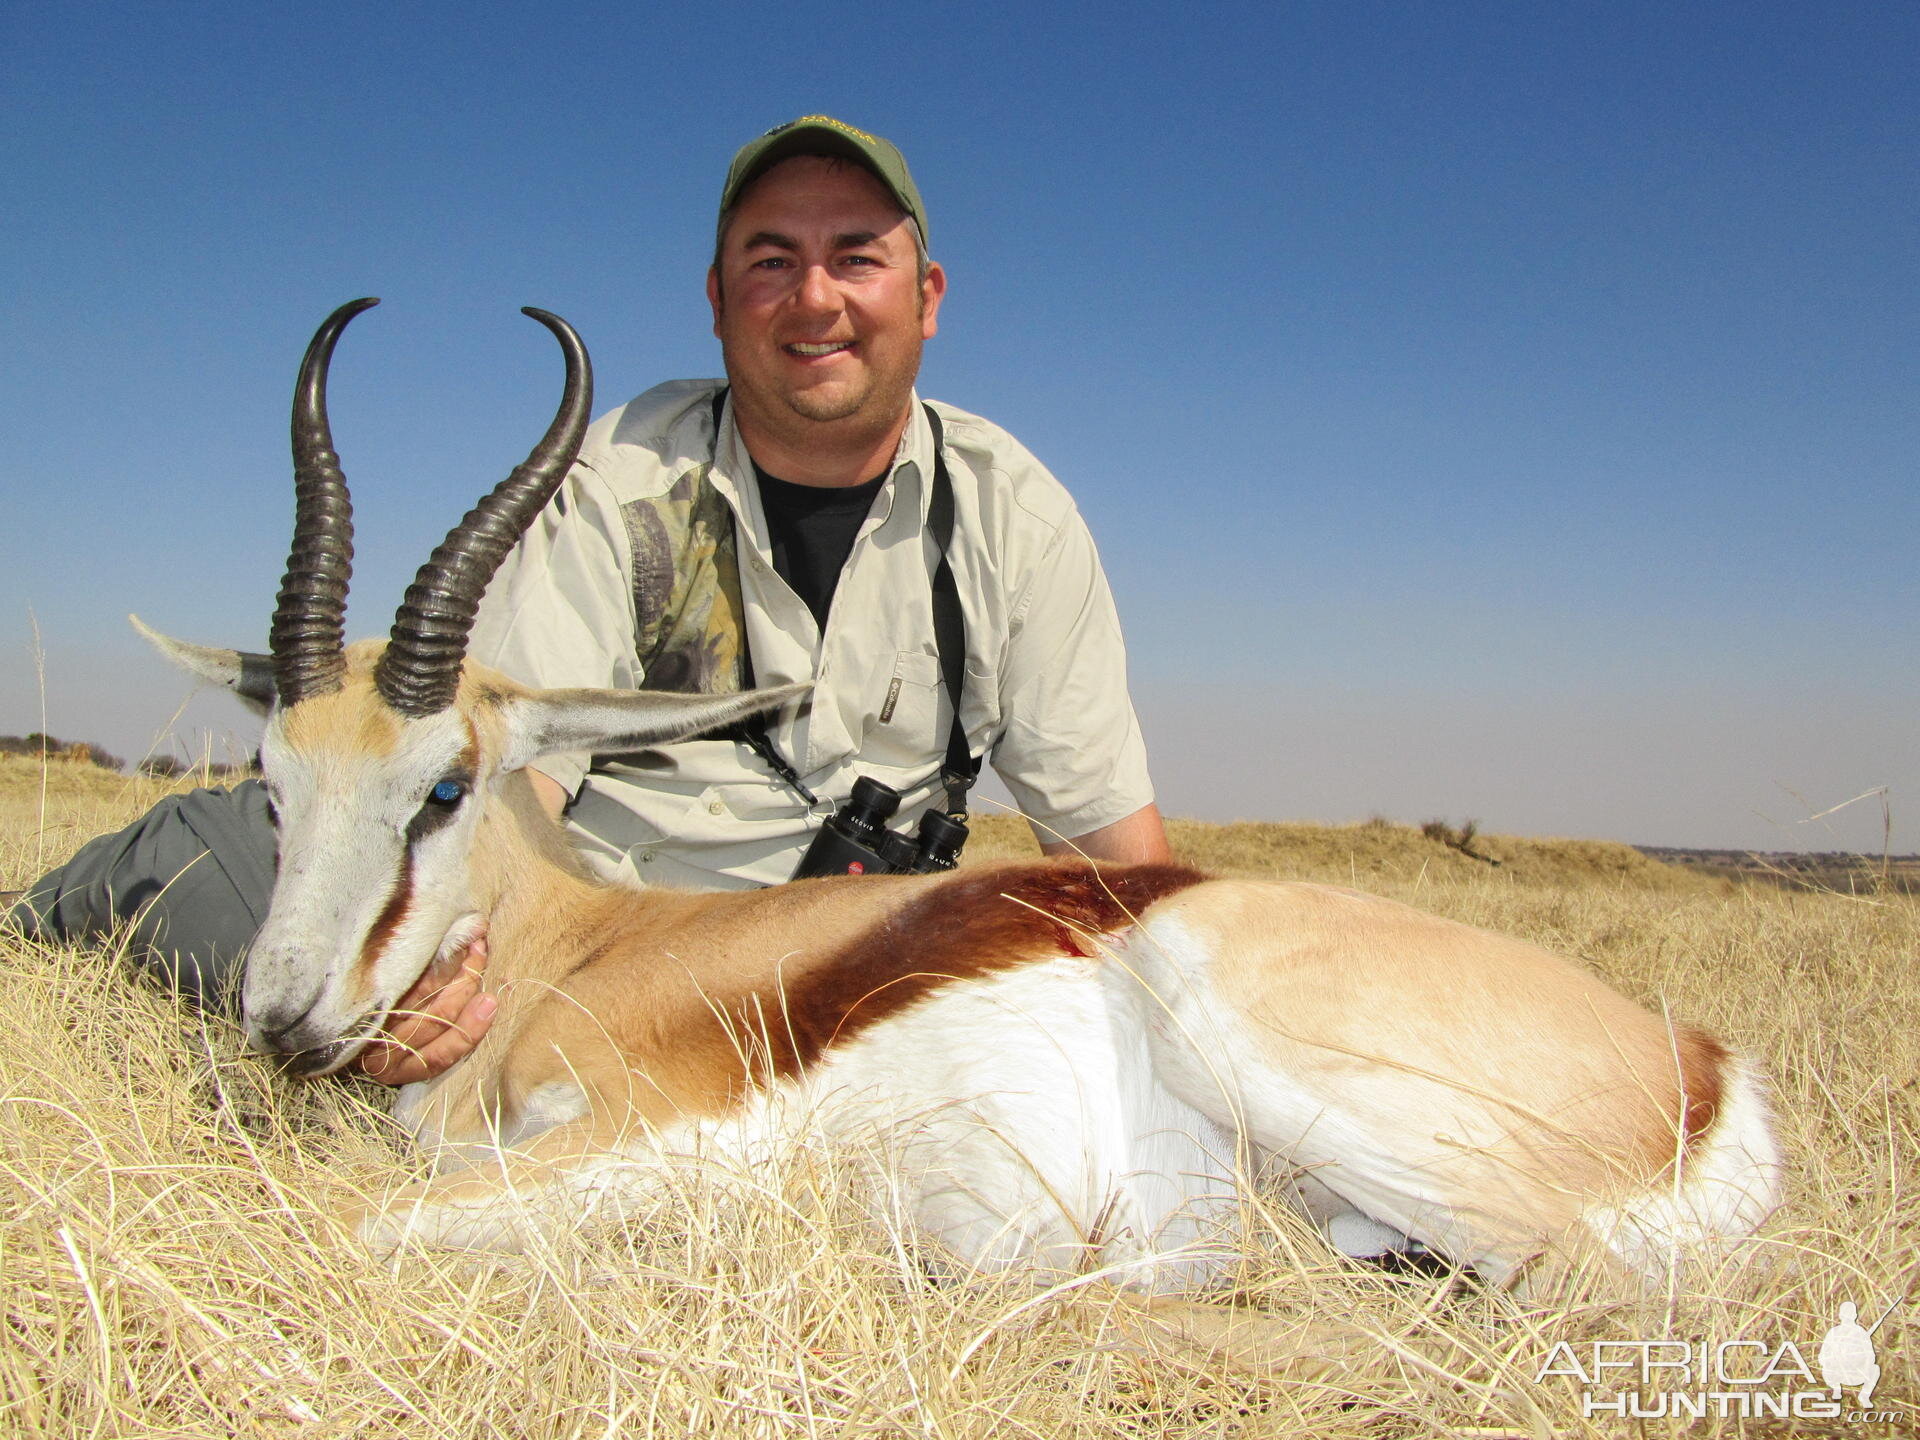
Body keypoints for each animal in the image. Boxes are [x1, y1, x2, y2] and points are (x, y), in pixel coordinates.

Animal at [142, 301, 1774, 1282]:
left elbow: (370, 1223)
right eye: (273, 787)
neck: (585, 955)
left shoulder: (658, 1131)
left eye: (444, 788)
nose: (283, 1017)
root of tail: (1700, 1065)